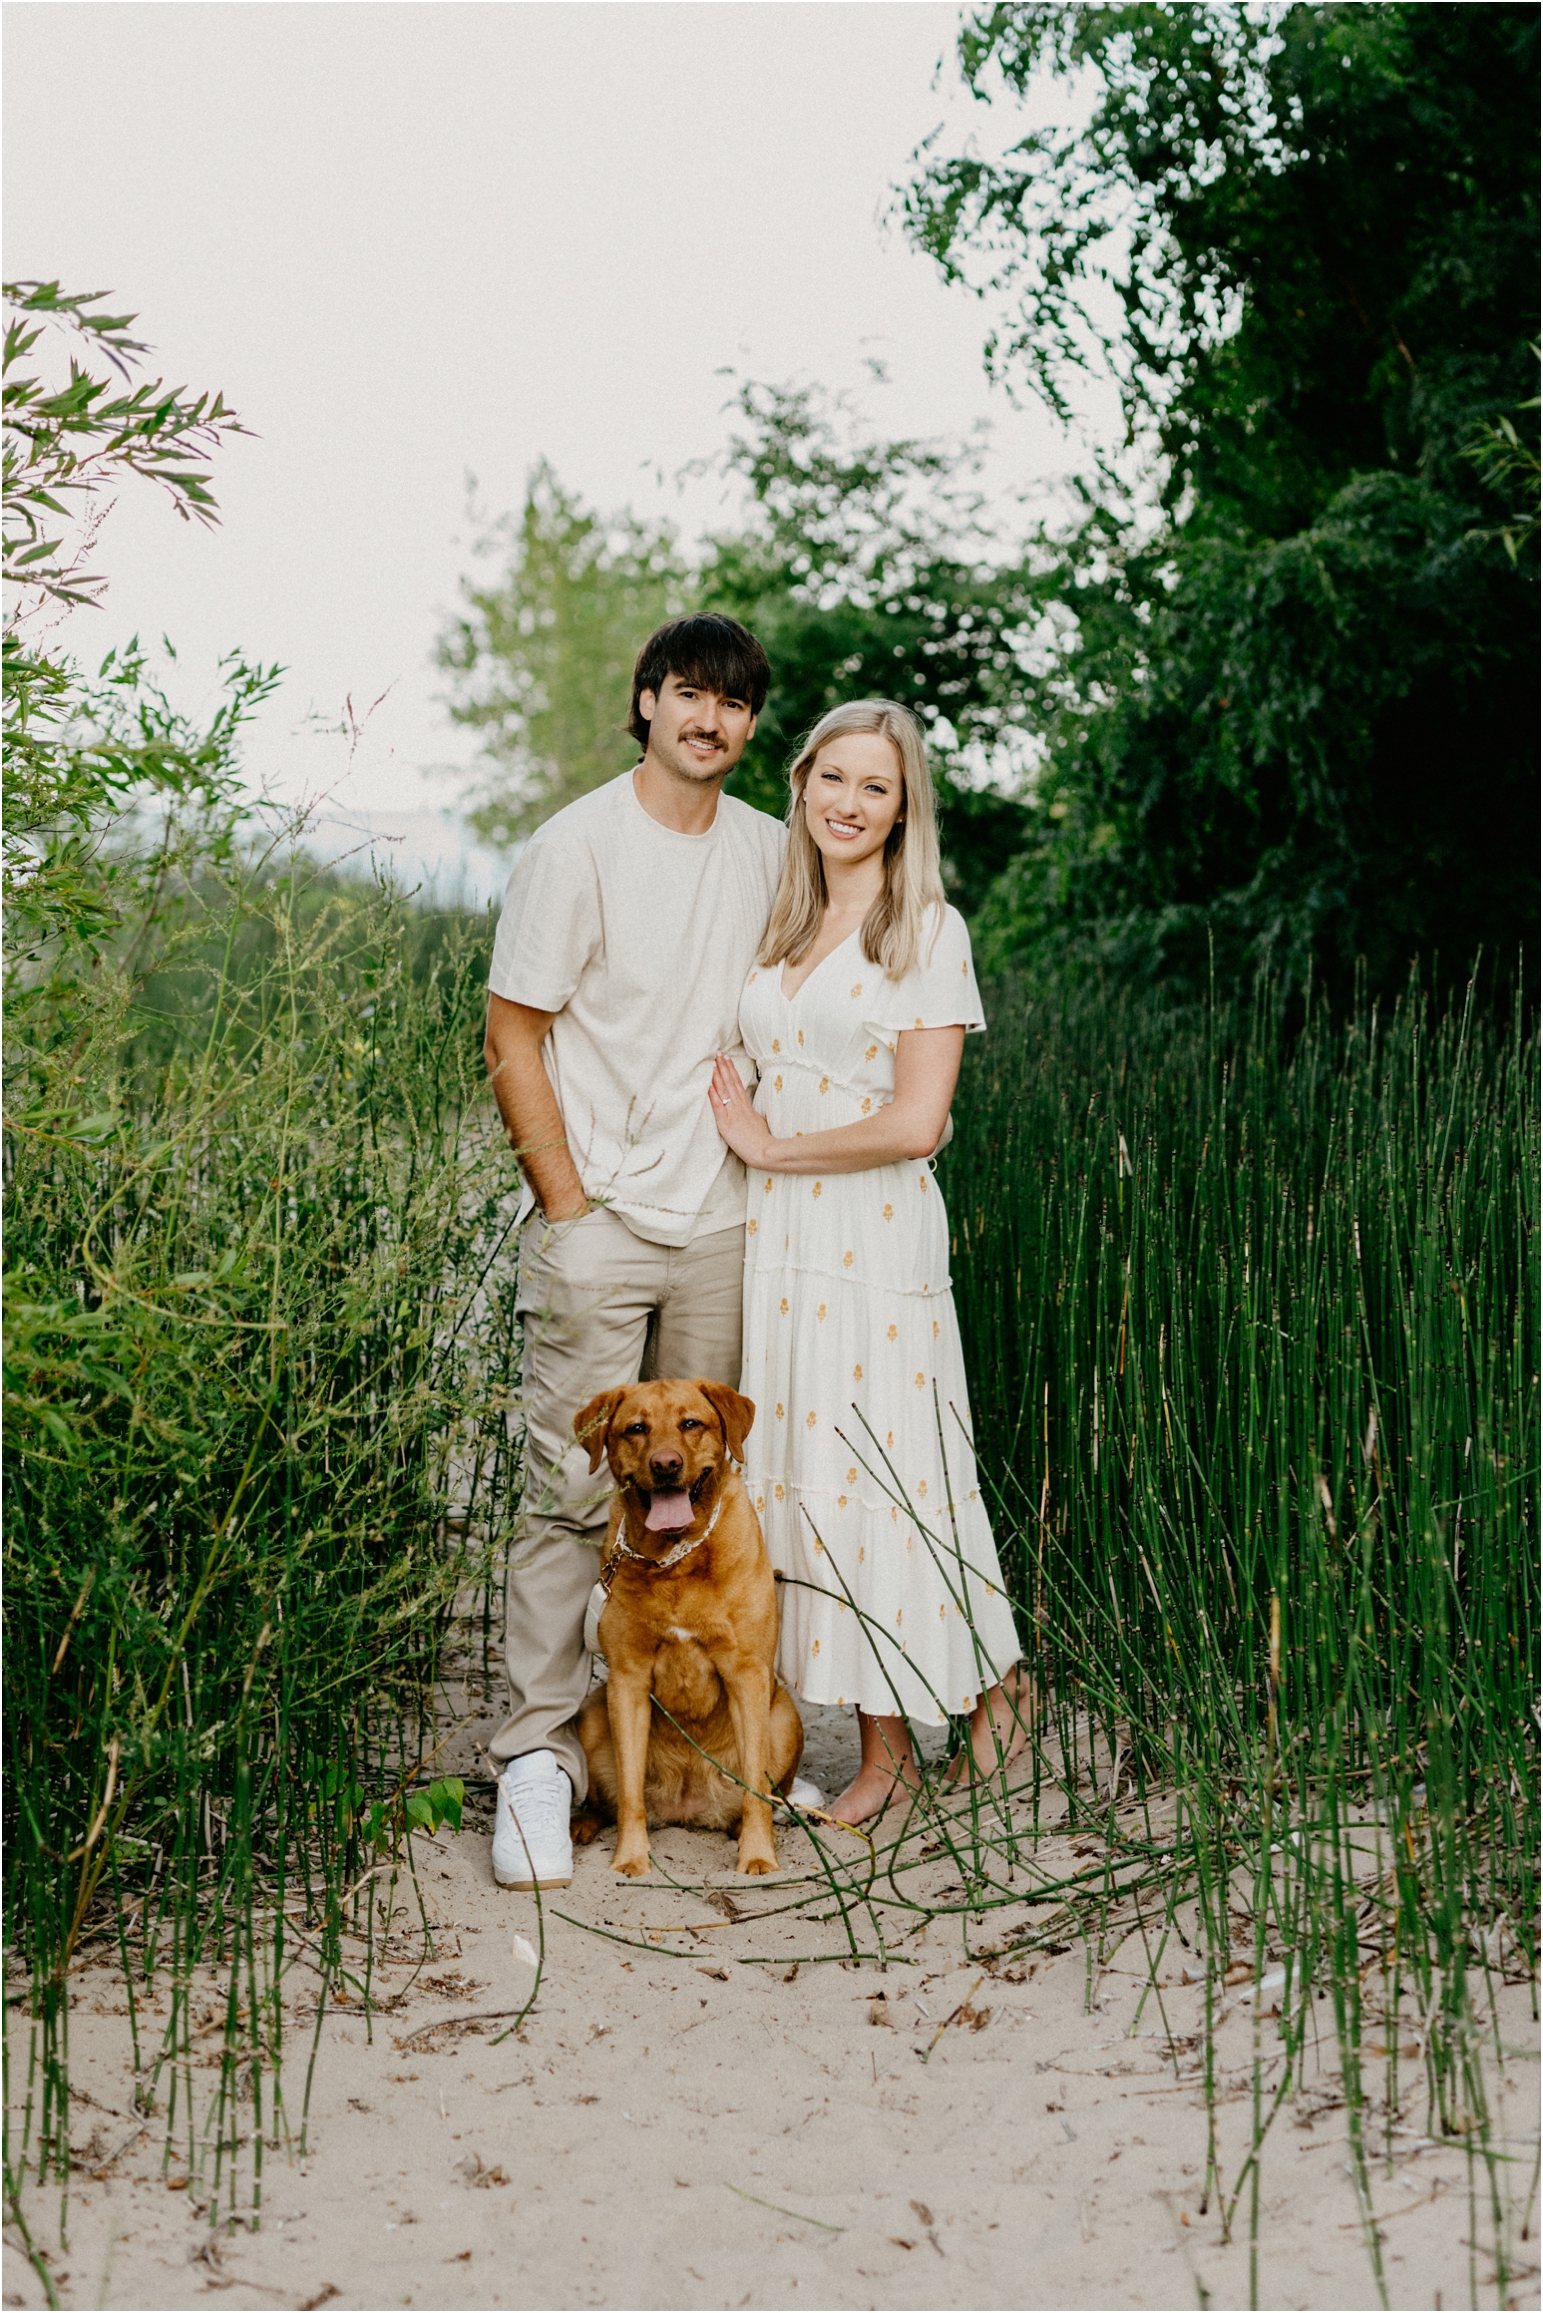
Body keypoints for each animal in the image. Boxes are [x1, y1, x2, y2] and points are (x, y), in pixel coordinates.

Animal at [573, 1378, 805, 1868]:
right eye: (636, 1428)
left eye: (691, 1424)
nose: (665, 1464)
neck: (675, 1558)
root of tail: (688, 1807)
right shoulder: (627, 1679)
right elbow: (629, 1791)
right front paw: (631, 1858)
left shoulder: (747, 1673)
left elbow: (756, 1789)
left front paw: (758, 1856)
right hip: (592, 1715)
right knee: (604, 1799)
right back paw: (580, 1823)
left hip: (785, 1718)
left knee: (766, 1790)